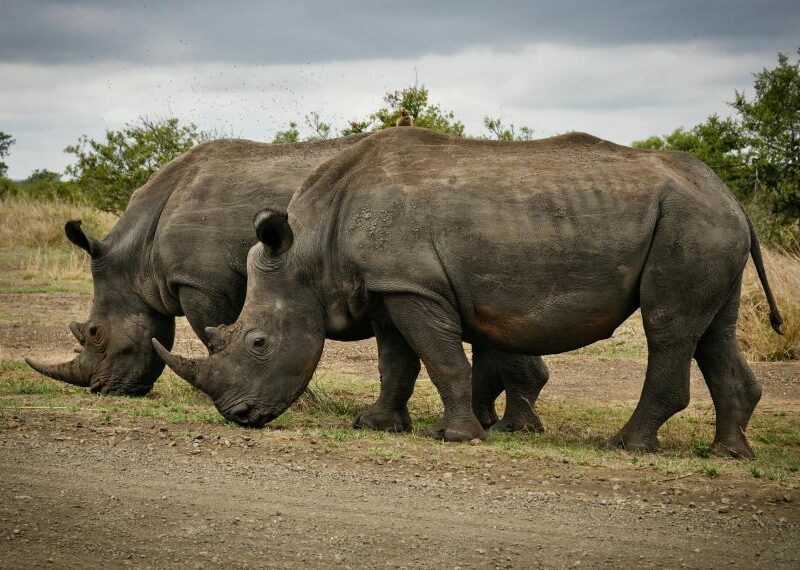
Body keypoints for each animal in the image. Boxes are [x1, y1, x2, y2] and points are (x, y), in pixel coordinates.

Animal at [25, 135, 549, 432]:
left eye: (95, 334)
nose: (100, 389)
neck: (138, 254)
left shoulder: (201, 282)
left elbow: (214, 332)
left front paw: (301, 403)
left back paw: (505, 425)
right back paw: (497, 421)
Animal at [155, 127, 782, 457]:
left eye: (258, 343)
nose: (238, 415)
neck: (310, 251)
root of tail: (733, 200)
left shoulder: (415, 287)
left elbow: (440, 359)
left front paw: (454, 436)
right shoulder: (389, 287)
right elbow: (396, 362)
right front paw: (376, 425)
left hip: (690, 225)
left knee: (667, 325)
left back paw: (626, 445)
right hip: (703, 225)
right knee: (711, 330)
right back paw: (729, 452)